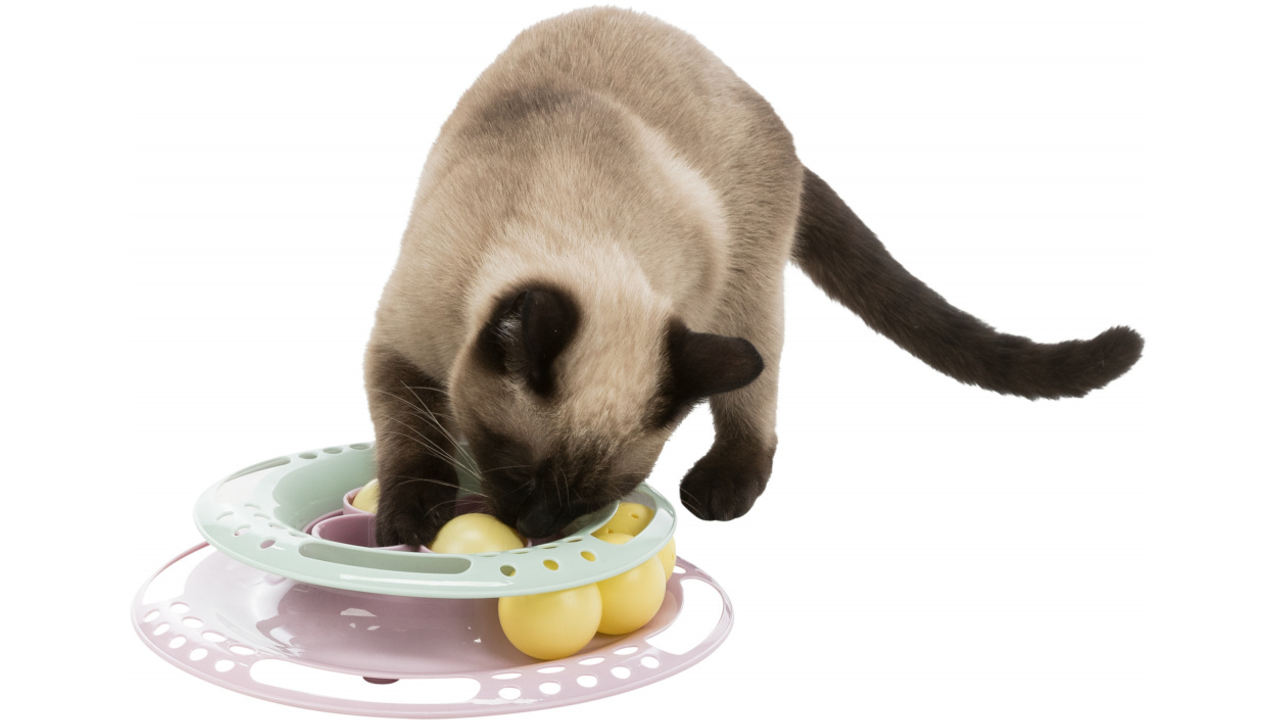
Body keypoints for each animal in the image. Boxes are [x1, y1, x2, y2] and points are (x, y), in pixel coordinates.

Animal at [364, 7, 1144, 547]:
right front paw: (409, 519)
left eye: (592, 499)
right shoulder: (401, 347)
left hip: (745, 294)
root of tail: (755, 100)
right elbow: (413, 436)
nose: (538, 529)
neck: (562, 216)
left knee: (757, 407)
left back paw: (724, 489)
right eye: (515, 473)